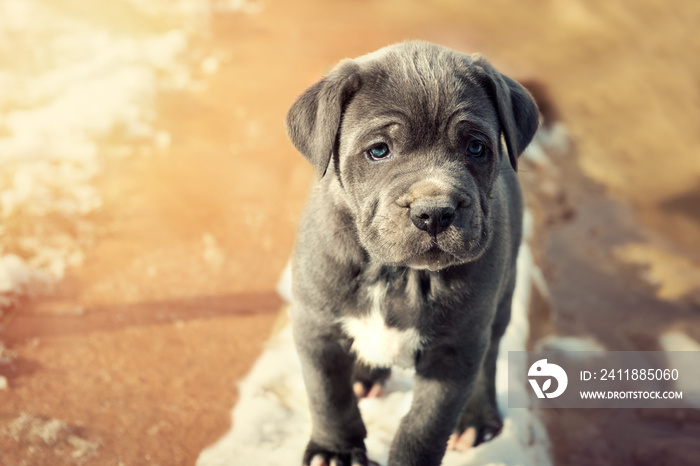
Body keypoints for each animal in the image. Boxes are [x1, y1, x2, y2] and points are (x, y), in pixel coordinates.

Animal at [284, 41, 536, 466]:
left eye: (476, 147)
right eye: (379, 151)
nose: (434, 212)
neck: (395, 272)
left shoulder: (454, 350)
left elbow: (425, 426)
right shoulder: (316, 328)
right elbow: (329, 397)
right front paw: (335, 451)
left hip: (501, 298)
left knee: (489, 358)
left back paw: (477, 419)